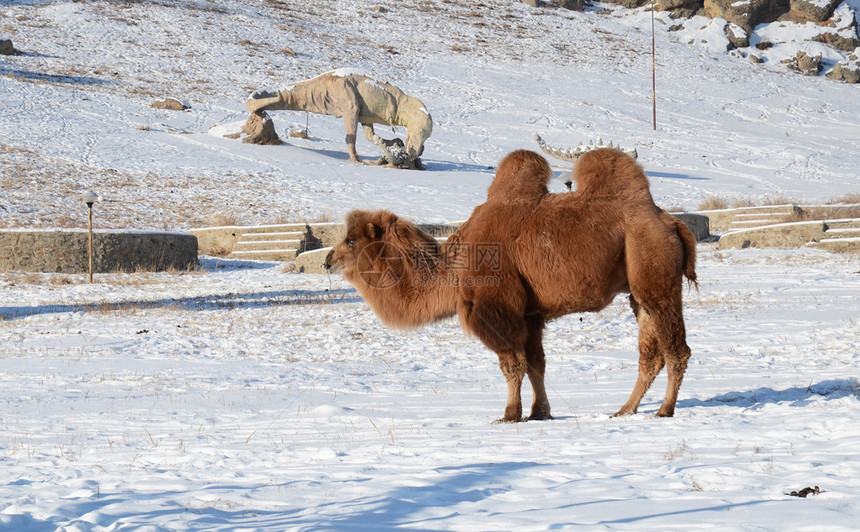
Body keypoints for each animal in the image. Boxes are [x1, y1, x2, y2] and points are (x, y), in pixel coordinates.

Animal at [324, 148, 700, 422]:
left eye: (351, 240)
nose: (327, 260)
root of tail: (671, 222)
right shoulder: (530, 313)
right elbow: (535, 363)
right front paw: (539, 413)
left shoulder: (494, 307)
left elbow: (511, 363)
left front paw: (508, 415)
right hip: (637, 289)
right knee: (650, 352)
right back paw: (625, 409)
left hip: (654, 272)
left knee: (675, 347)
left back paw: (664, 410)